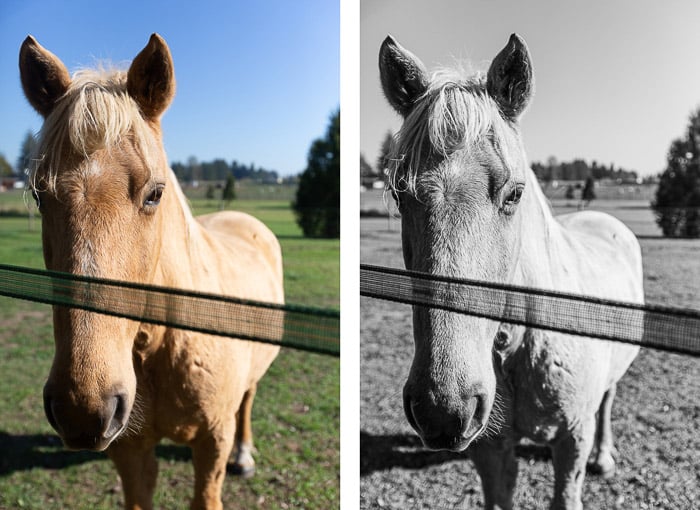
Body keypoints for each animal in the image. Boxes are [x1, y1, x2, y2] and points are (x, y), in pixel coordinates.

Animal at [19, 34, 283, 510]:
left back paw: (245, 454)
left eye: (154, 193)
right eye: (39, 196)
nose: (82, 408)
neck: (164, 343)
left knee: (248, 400)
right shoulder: (131, 451)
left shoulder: (212, 442)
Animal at [379, 34, 642, 510]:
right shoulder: (490, 449)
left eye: (514, 193)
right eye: (399, 194)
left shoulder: (572, 439)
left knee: (609, 399)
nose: (442, 408)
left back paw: (604, 456)